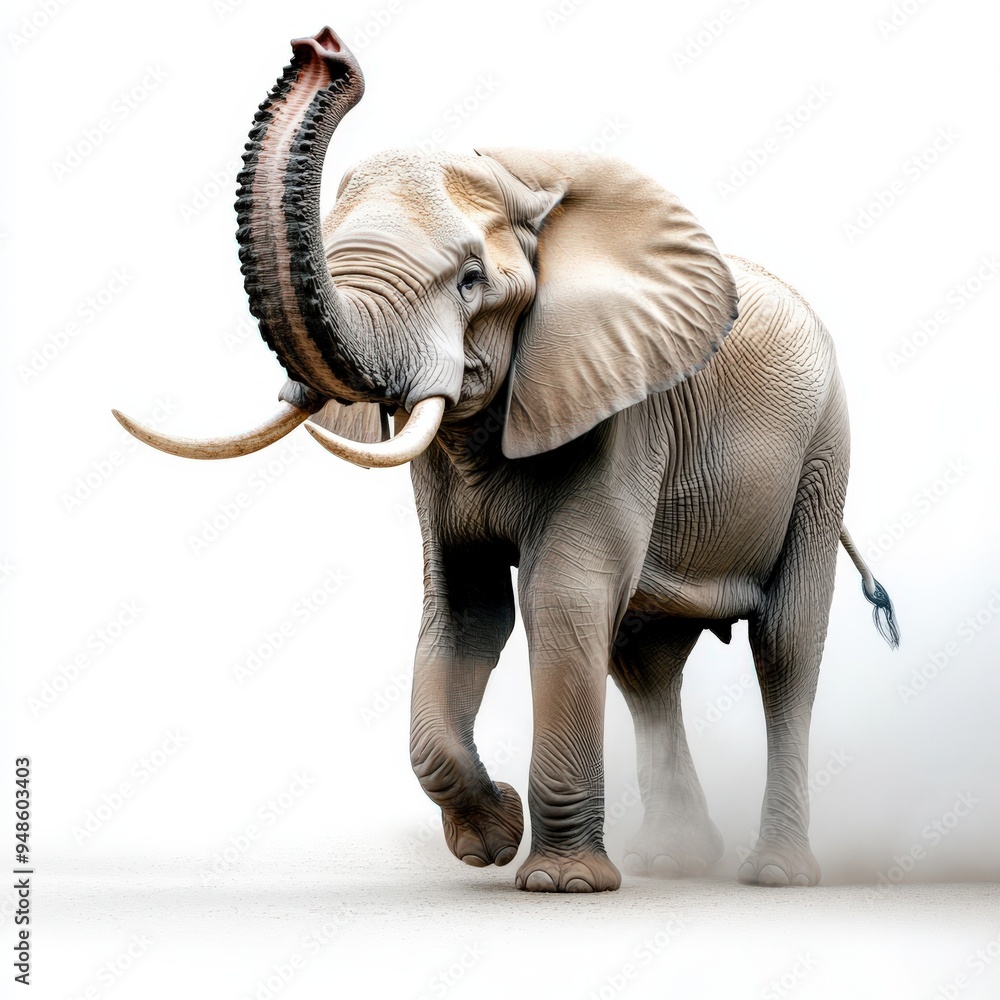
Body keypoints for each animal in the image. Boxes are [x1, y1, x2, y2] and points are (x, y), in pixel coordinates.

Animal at [114, 27, 897, 892]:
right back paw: (673, 860)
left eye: (469, 281)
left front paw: (562, 886)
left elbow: (562, 598)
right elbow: (463, 609)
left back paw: (773, 875)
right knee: (645, 661)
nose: (324, 48)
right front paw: (490, 837)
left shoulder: (624, 412)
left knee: (786, 645)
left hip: (824, 452)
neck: (529, 188)